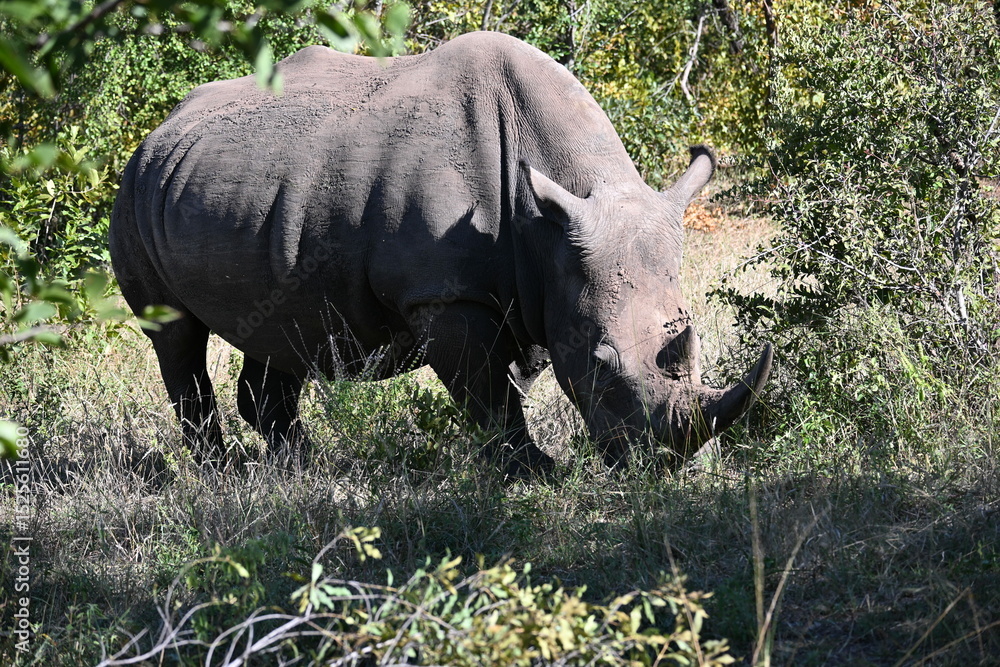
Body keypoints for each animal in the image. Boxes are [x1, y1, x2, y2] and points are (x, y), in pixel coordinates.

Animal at [110, 31, 771, 475]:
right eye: (601, 362)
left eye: (689, 336)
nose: (664, 465)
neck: (549, 226)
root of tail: (158, 129)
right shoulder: (443, 295)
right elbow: (491, 395)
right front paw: (535, 473)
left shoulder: (534, 281)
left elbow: (507, 384)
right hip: (135, 190)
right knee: (176, 334)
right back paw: (221, 472)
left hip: (246, 194)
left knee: (277, 328)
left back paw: (302, 467)